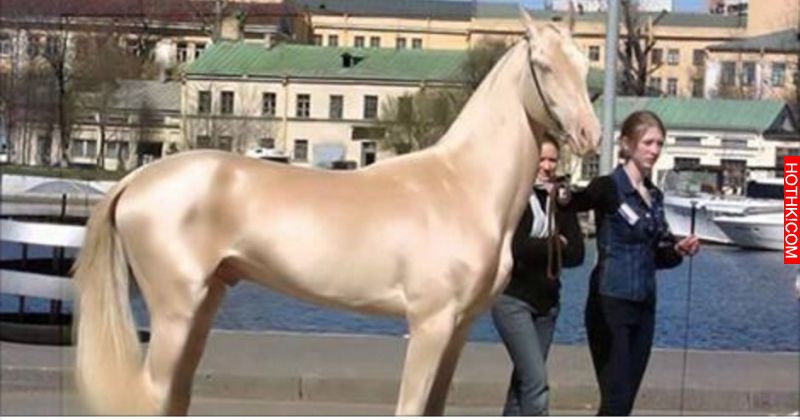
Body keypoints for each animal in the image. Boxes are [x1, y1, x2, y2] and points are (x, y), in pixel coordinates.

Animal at [72, 10, 600, 415]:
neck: (461, 185)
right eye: (542, 65)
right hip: (175, 310)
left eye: (582, 62)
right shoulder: (430, 324)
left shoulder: (459, 328)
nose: (590, 135)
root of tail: (137, 179)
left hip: (204, 304)